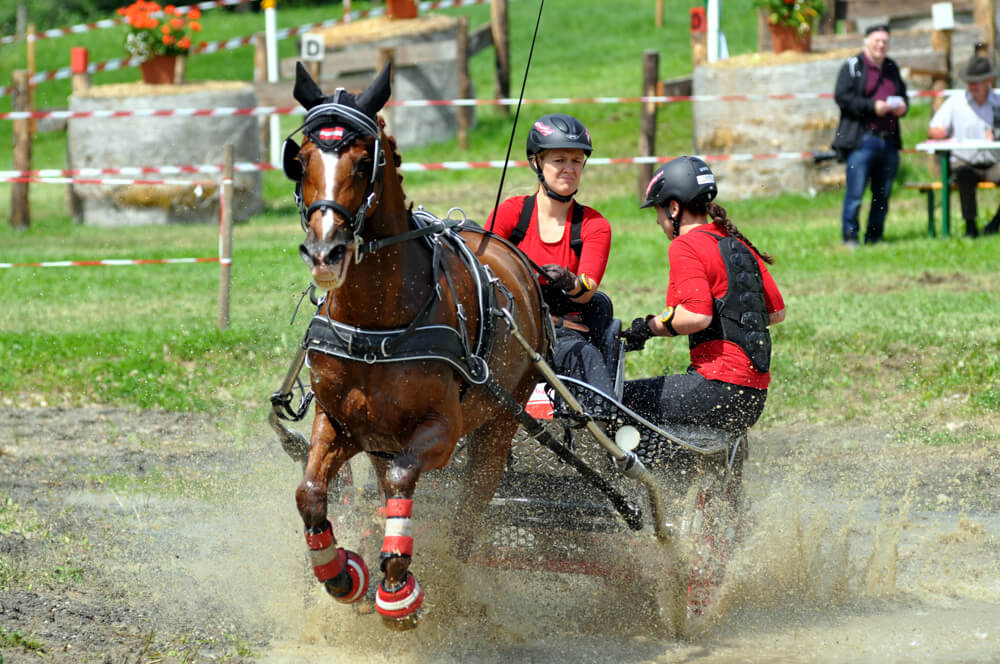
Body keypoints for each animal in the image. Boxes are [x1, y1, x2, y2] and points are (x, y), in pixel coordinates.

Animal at [280, 65, 548, 632]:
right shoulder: (340, 423)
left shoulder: (440, 429)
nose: (325, 252)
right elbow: (310, 492)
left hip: (499, 423)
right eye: (301, 160)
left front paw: (398, 587)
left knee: (468, 514)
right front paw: (340, 572)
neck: (375, 325)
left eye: (365, 161)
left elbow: (405, 480)